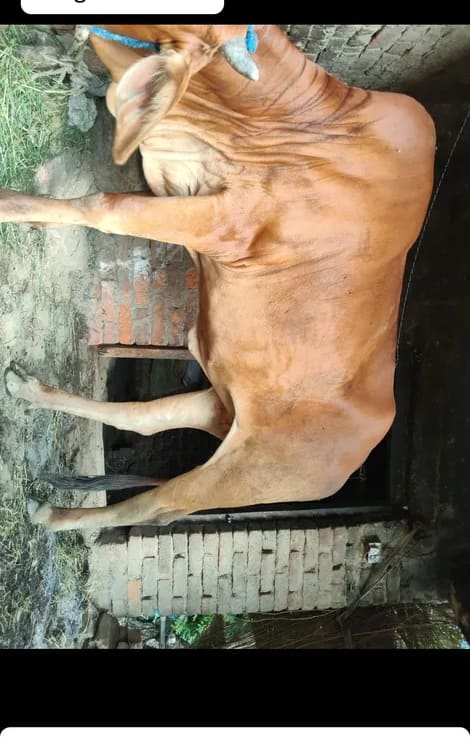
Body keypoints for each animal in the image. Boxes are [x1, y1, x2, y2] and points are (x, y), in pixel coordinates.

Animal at [2, 24, 436, 532]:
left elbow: (105, 207)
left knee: (157, 505)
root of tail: (365, 447)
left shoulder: (225, 225)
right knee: (146, 419)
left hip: (242, 475)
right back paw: (28, 390)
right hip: (217, 404)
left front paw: (9, 206)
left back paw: (54, 514)